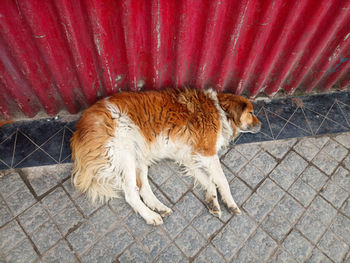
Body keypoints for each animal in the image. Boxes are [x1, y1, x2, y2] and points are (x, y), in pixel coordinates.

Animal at [70, 88, 260, 225]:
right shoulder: (207, 151)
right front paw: (230, 203)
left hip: (138, 157)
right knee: (131, 194)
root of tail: (80, 129)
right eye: (251, 113)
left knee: (143, 189)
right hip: (124, 154)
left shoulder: (190, 157)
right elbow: (221, 180)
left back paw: (159, 207)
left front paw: (212, 201)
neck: (219, 109)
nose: (261, 124)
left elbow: (208, 181)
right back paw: (150, 216)